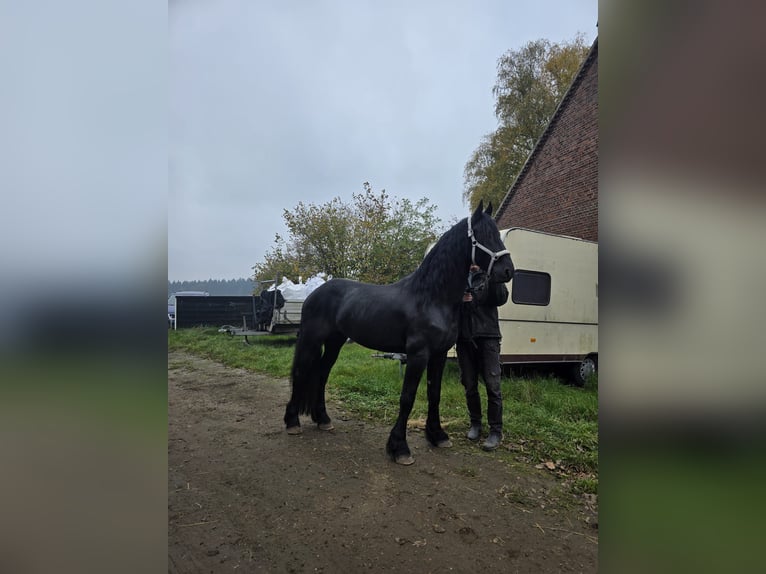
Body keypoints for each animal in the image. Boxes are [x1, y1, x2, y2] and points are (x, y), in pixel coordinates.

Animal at [284, 201, 516, 464]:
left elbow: (433, 394)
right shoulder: (418, 354)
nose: (508, 271)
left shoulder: (438, 355)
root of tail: (315, 293)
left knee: (322, 374)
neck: (431, 297)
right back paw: (292, 422)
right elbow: (407, 397)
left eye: (497, 233)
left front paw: (437, 436)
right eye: (483, 235)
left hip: (335, 342)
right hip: (311, 340)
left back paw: (322, 419)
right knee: (302, 372)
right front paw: (400, 448)